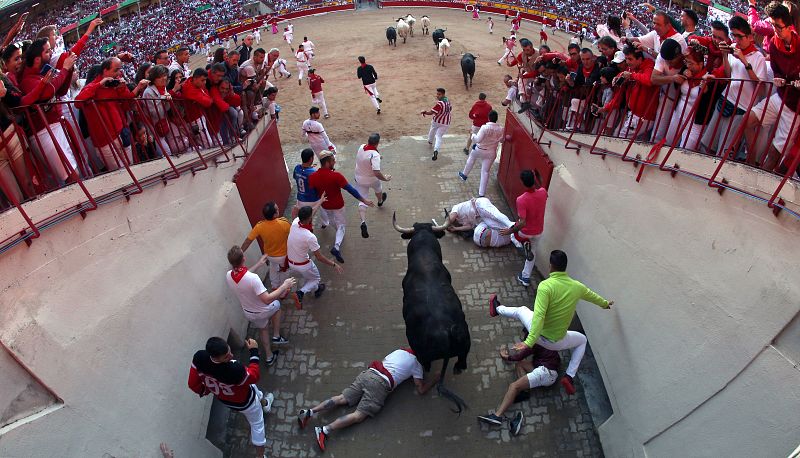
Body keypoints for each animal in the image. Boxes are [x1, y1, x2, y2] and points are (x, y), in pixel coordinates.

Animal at [392, 213, 468, 414]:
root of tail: (446, 333)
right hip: (465, 341)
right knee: (462, 360)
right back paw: (458, 369)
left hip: (419, 351)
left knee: (424, 364)